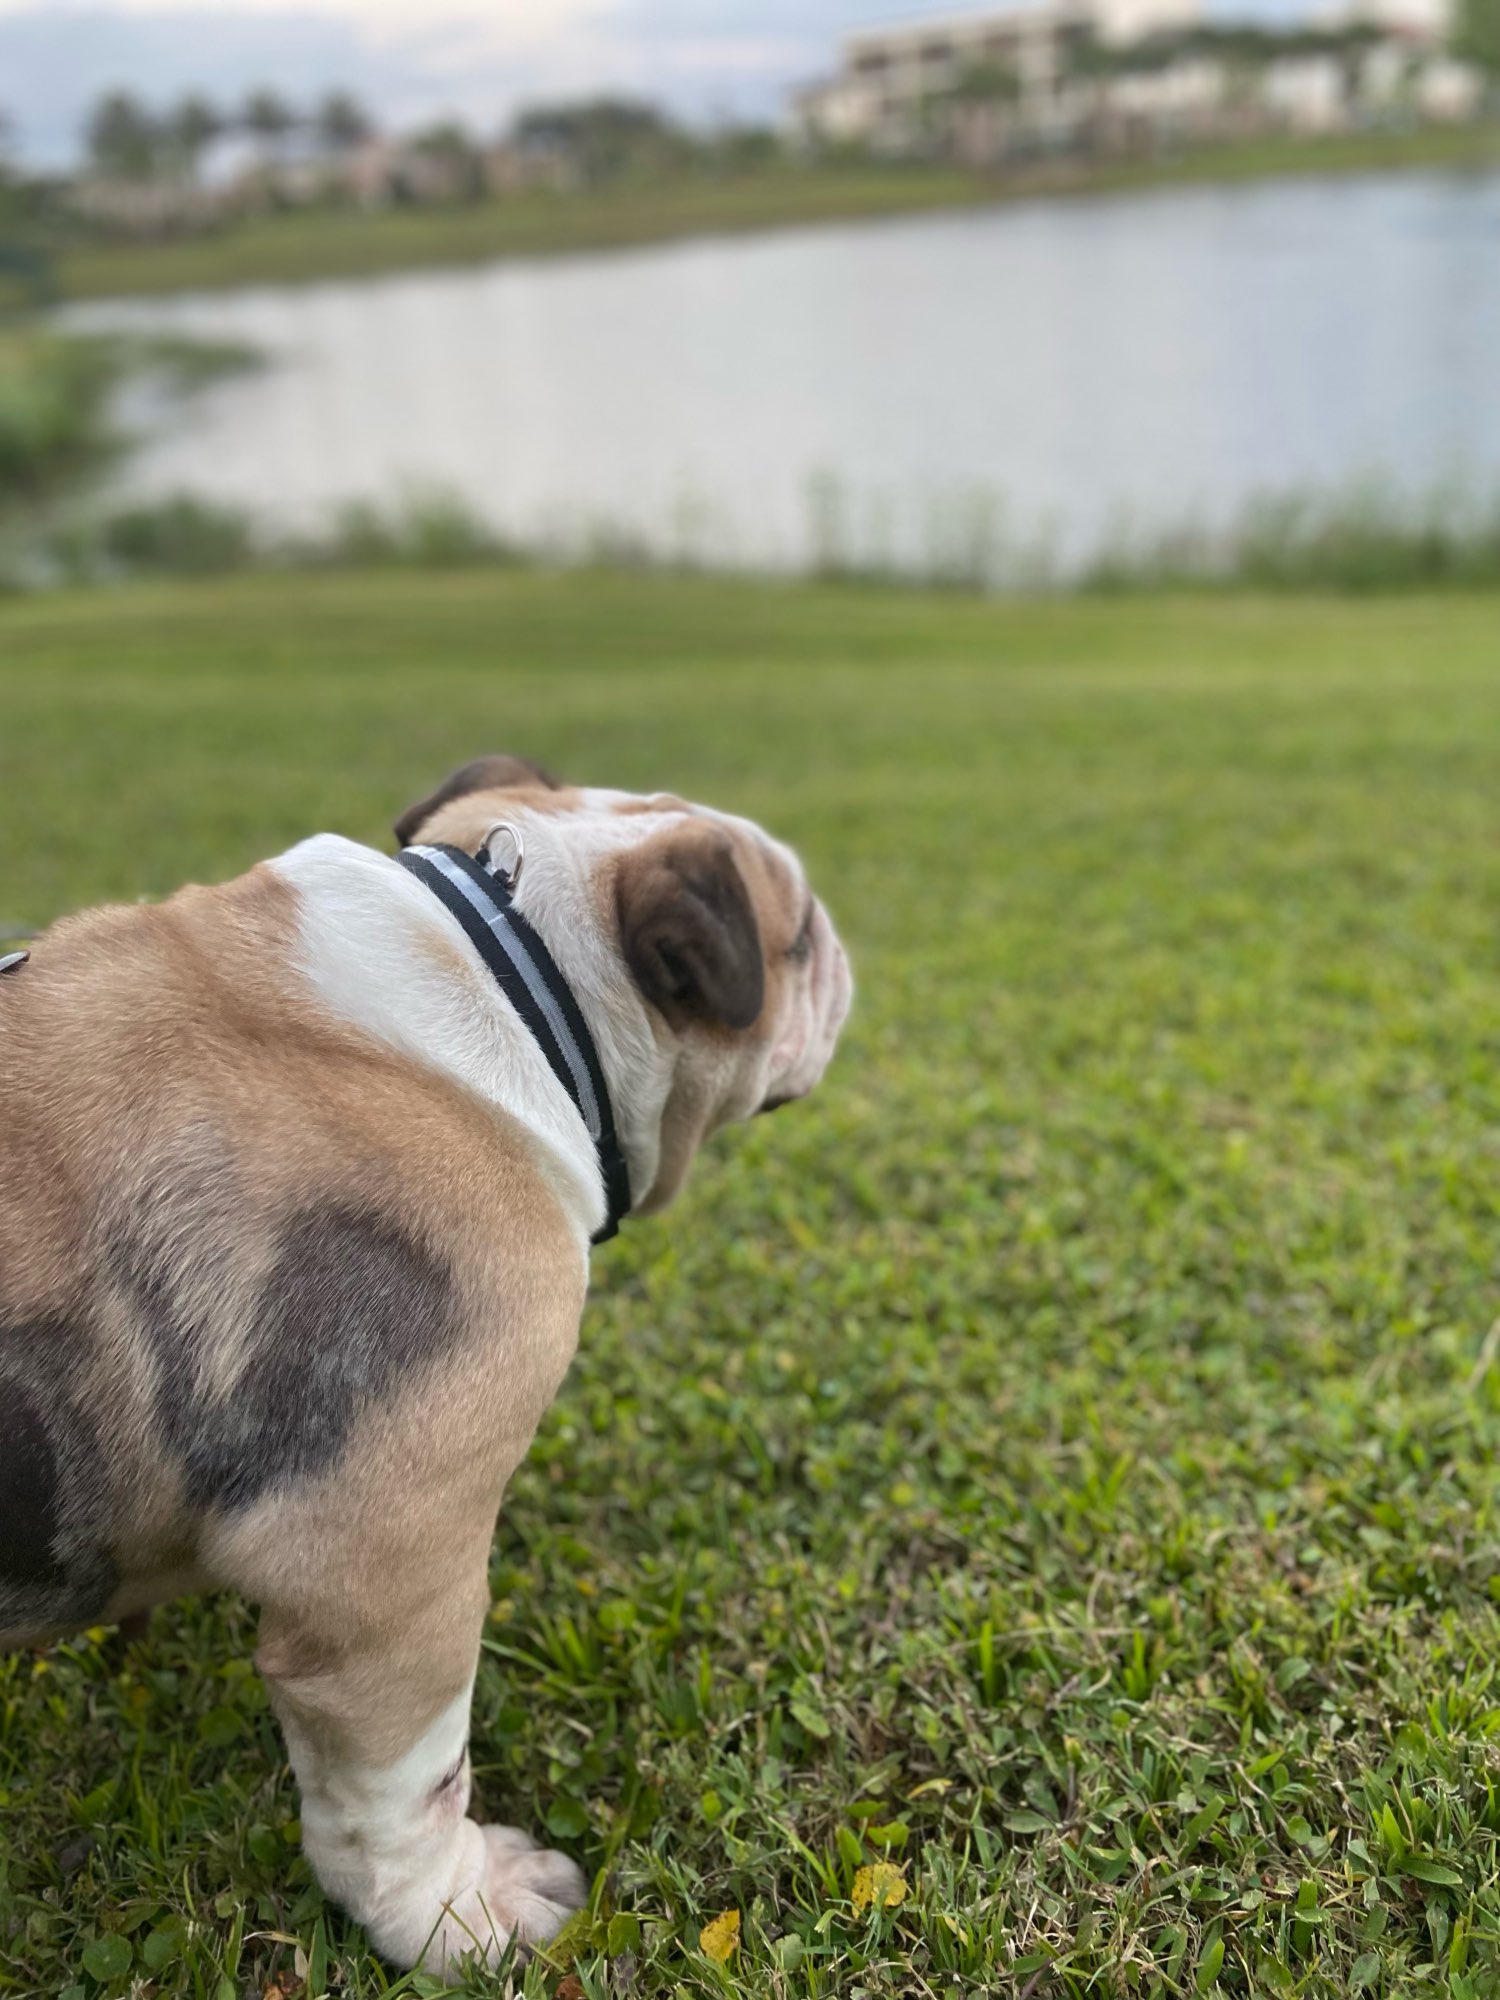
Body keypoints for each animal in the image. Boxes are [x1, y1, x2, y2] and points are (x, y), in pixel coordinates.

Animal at [0, 755, 851, 1971]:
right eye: (804, 934)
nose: (842, 951)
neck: (517, 975)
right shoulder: (385, 1571)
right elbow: (407, 1785)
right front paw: (456, 1913)